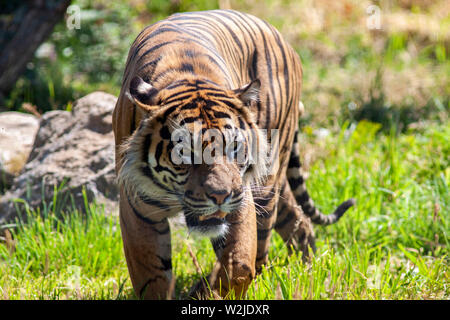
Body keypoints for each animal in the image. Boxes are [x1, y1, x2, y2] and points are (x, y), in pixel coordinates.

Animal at [113, 10, 356, 300]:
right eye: (185, 153)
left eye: (234, 148)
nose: (220, 196)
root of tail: (283, 39)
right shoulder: (137, 205)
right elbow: (152, 276)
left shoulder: (242, 197)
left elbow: (239, 264)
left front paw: (205, 293)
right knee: (299, 220)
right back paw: (309, 271)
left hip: (267, 181)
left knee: (263, 246)